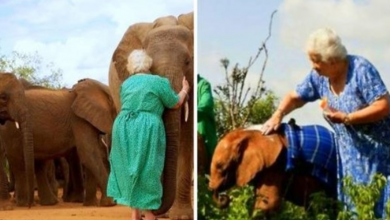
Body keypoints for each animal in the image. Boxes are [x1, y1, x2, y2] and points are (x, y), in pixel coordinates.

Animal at [0, 74, 116, 208]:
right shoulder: (79, 120)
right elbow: (88, 153)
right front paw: (110, 203)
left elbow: (92, 154)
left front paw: (90, 205)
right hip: (11, 132)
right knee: (18, 162)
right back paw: (25, 204)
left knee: (38, 163)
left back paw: (47, 203)